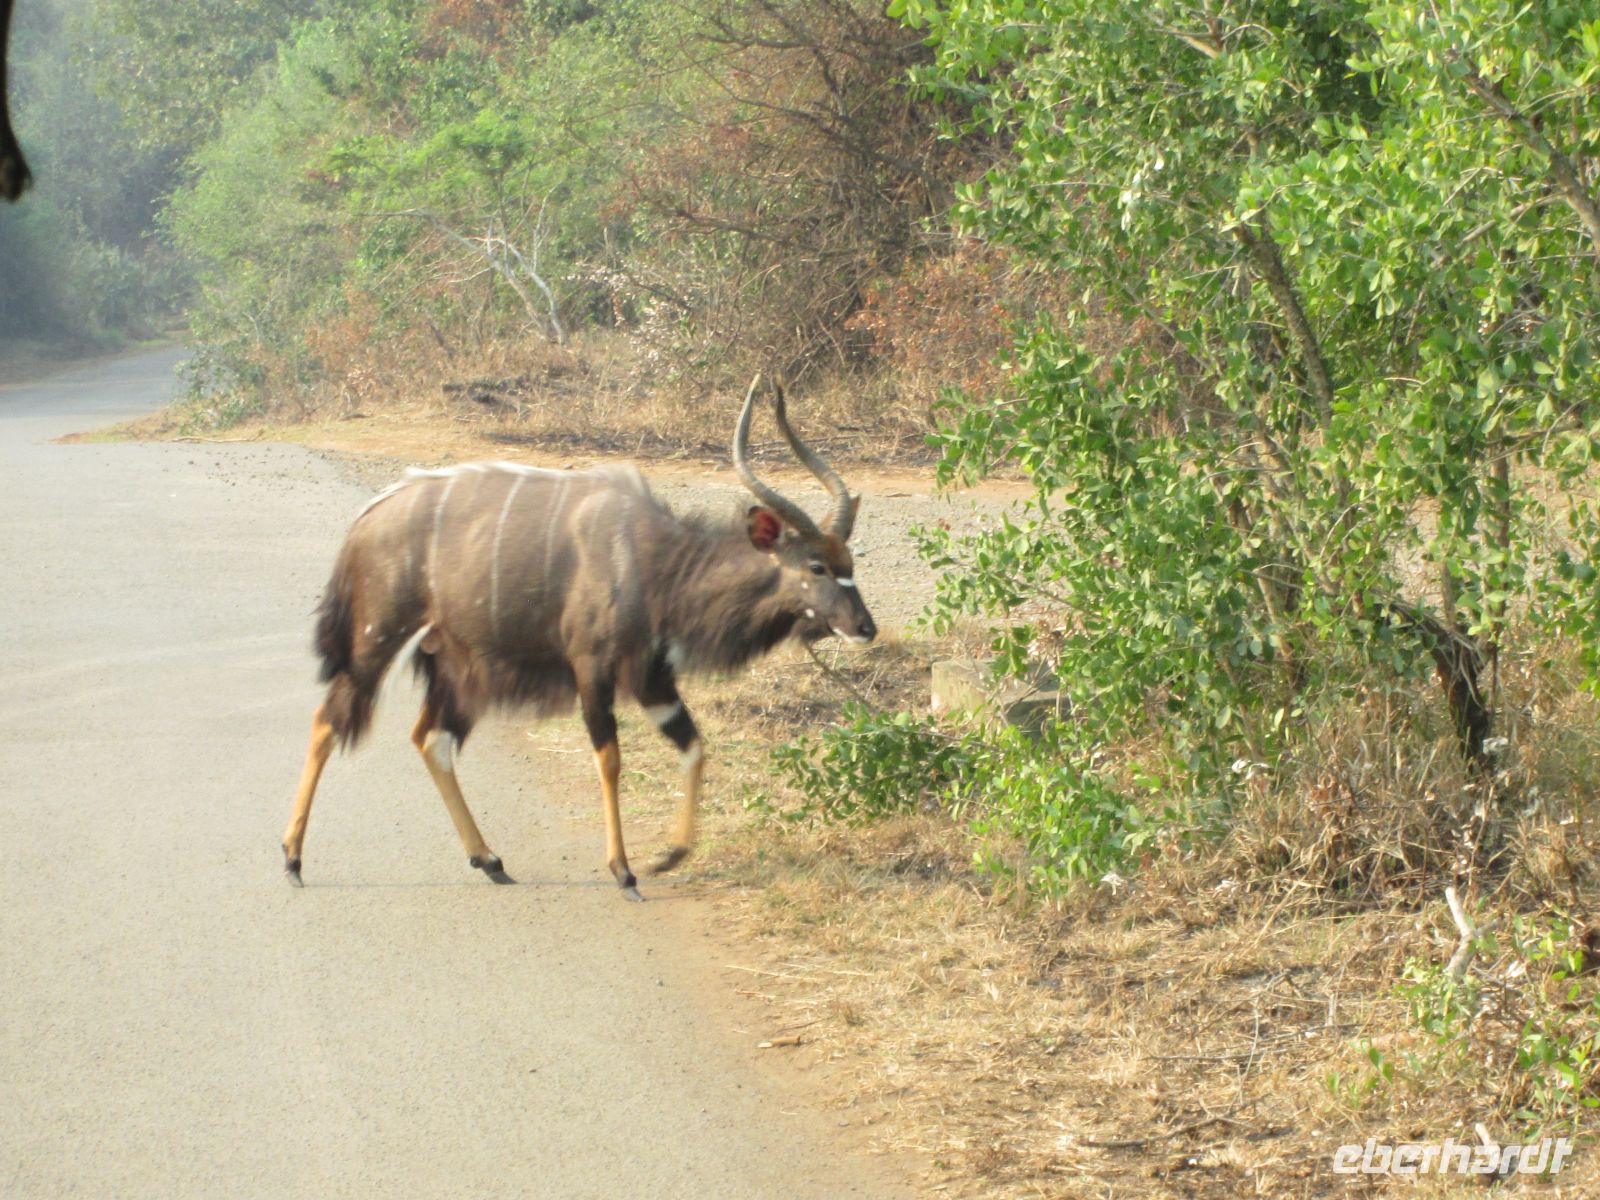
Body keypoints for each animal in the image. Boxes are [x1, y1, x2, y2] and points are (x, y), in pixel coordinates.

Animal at [282, 377, 876, 899]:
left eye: (849, 563)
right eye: (817, 566)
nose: (864, 628)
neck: (655, 563)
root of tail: (365, 523)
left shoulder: (653, 676)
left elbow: (694, 745)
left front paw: (671, 854)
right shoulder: (592, 667)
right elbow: (609, 758)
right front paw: (624, 872)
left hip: (456, 665)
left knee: (431, 738)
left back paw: (489, 859)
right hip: (378, 639)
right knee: (327, 720)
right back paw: (292, 860)